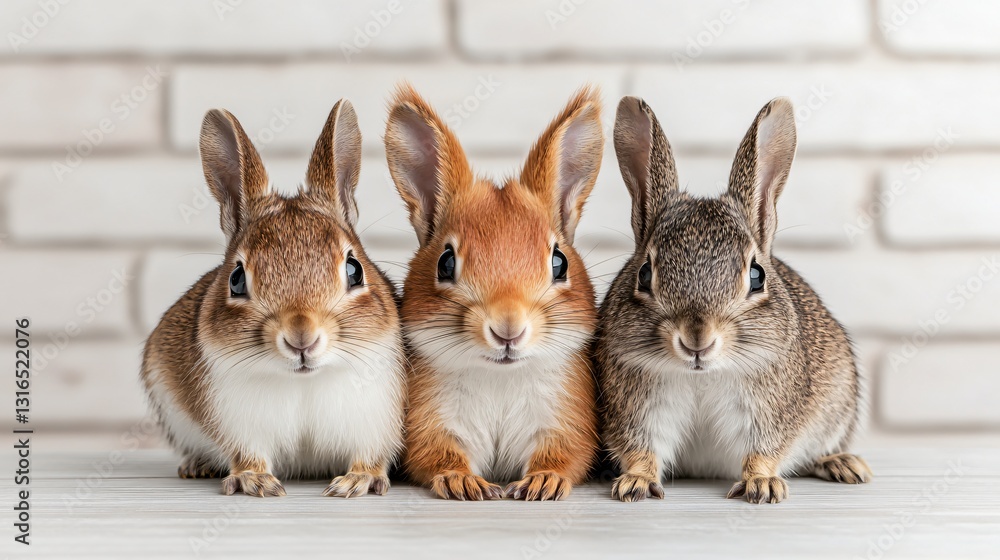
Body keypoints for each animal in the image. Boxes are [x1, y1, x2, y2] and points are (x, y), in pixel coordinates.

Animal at [140, 100, 406, 498]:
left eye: (354, 270)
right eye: (236, 280)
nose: (301, 337)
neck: (303, 379)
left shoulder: (375, 419)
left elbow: (369, 453)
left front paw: (359, 480)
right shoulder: (240, 424)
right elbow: (249, 454)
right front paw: (255, 481)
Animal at [384, 84, 603, 501]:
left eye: (559, 263)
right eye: (445, 263)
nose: (508, 329)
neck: (500, 375)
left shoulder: (566, 419)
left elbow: (565, 455)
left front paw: (543, 482)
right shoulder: (431, 420)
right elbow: (436, 455)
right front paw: (462, 482)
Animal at [595, 96, 872, 504]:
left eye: (756, 276)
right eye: (644, 274)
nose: (697, 340)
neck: (702, 374)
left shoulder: (767, 412)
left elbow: (763, 451)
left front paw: (763, 484)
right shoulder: (638, 408)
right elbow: (641, 449)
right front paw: (636, 483)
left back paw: (842, 463)